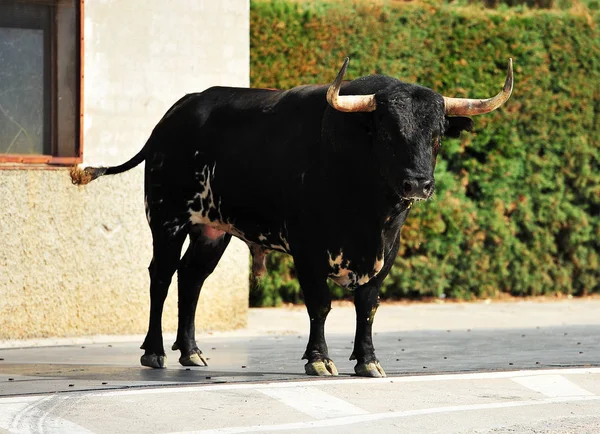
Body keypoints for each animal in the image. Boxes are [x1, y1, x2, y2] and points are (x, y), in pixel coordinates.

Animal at [70, 56, 510, 376]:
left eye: (437, 135)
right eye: (388, 133)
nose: (418, 183)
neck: (369, 213)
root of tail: (174, 116)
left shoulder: (386, 252)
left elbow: (367, 306)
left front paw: (368, 361)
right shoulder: (307, 249)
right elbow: (320, 305)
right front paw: (319, 359)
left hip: (211, 230)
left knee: (191, 279)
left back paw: (191, 352)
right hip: (167, 219)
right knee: (160, 277)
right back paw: (155, 352)